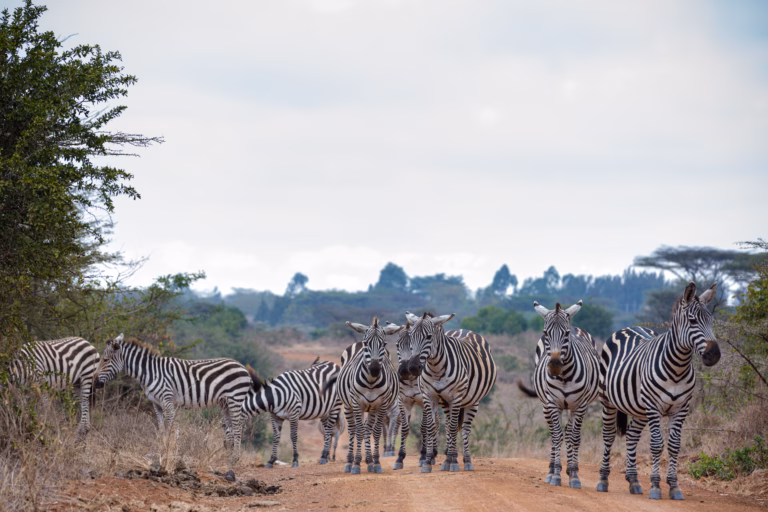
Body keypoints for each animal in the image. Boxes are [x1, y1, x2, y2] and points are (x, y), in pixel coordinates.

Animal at [96, 334, 252, 466]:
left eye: (105, 360)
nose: (96, 383)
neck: (150, 373)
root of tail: (243, 367)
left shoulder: (167, 400)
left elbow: (170, 428)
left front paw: (168, 452)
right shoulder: (156, 404)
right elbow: (161, 430)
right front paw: (160, 451)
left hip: (235, 398)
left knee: (237, 427)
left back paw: (233, 460)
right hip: (225, 403)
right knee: (231, 428)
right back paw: (226, 458)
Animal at [326, 317, 403, 474]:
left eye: (384, 344)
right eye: (367, 343)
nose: (374, 369)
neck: (371, 382)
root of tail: (356, 343)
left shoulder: (381, 404)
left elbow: (376, 432)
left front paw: (376, 462)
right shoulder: (357, 403)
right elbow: (360, 432)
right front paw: (356, 464)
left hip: (371, 407)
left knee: (368, 429)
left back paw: (369, 461)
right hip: (348, 406)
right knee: (353, 430)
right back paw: (350, 462)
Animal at [403, 311, 497, 473]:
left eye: (429, 337)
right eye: (411, 336)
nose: (414, 368)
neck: (435, 368)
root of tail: (465, 330)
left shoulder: (456, 397)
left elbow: (454, 428)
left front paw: (454, 462)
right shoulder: (429, 396)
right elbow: (432, 427)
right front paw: (428, 461)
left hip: (473, 401)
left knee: (464, 428)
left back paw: (465, 460)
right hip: (446, 402)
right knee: (447, 425)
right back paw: (448, 459)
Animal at [516, 300, 600, 488]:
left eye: (566, 334)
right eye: (545, 333)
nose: (554, 365)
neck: (565, 376)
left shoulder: (580, 405)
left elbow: (574, 438)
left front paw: (574, 475)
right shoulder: (553, 403)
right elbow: (556, 436)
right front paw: (555, 474)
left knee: (570, 434)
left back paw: (569, 469)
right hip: (546, 406)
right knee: (555, 434)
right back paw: (551, 471)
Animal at [597, 282, 721, 500]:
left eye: (711, 321)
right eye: (692, 321)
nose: (714, 355)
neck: (677, 368)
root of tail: (629, 327)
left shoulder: (681, 408)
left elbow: (674, 446)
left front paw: (674, 486)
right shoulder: (654, 407)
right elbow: (656, 445)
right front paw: (655, 486)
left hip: (640, 409)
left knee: (632, 436)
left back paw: (634, 481)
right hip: (608, 401)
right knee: (609, 435)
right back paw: (603, 480)